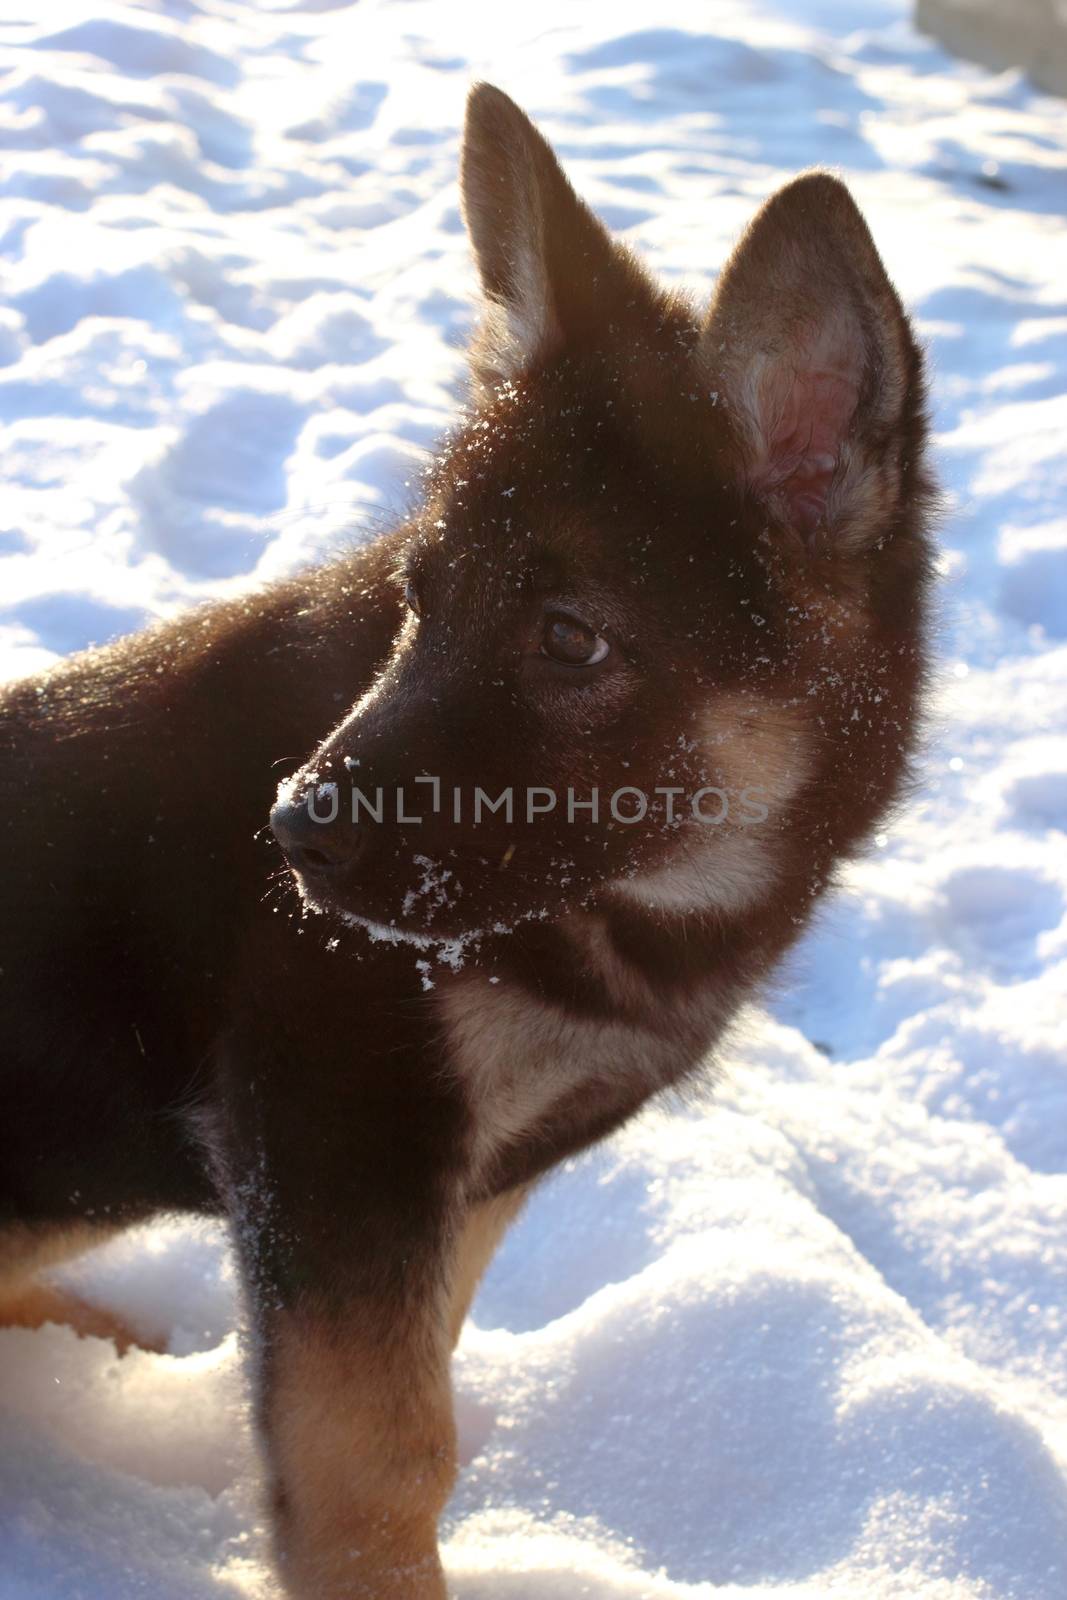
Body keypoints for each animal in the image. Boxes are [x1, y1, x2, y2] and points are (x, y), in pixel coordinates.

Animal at [0, 84, 934, 1600]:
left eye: (569, 640)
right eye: (415, 597)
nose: (287, 836)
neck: (633, 908)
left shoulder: (460, 1174)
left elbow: (404, 1387)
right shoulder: (340, 1141)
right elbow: (377, 1455)